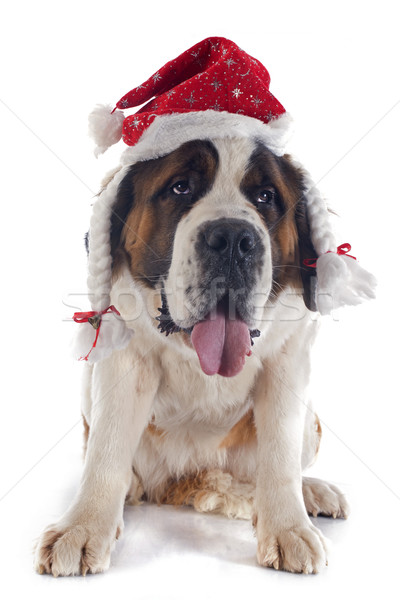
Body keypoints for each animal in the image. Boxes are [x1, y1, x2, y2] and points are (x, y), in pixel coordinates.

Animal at [32, 37, 374, 576]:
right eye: (180, 188)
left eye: (266, 196)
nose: (233, 238)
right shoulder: (124, 362)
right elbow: (107, 449)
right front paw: (84, 528)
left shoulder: (288, 364)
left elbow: (278, 455)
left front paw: (288, 527)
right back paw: (132, 489)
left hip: (312, 421)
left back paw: (310, 492)